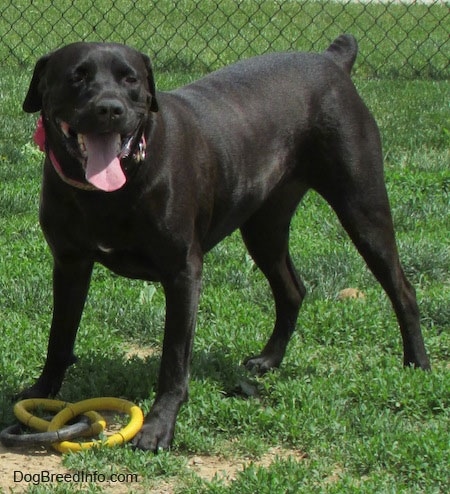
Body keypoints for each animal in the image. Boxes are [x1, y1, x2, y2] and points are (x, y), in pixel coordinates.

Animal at [20, 34, 428, 452]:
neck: (112, 187)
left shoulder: (183, 273)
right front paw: (39, 395)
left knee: (401, 288)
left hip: (363, 208)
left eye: (130, 79)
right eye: (77, 76)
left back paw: (417, 365)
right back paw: (269, 359)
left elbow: (173, 359)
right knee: (292, 289)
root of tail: (333, 60)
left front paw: (159, 425)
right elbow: (59, 336)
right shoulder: (69, 264)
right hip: (265, 227)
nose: (109, 108)